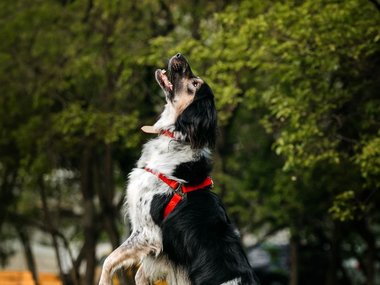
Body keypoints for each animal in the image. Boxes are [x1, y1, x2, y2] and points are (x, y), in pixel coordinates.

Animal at [98, 53, 258, 284]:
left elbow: (109, 260)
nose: (180, 55)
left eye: (195, 83)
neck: (176, 136)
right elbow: (139, 273)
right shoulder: (163, 253)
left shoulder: (147, 233)